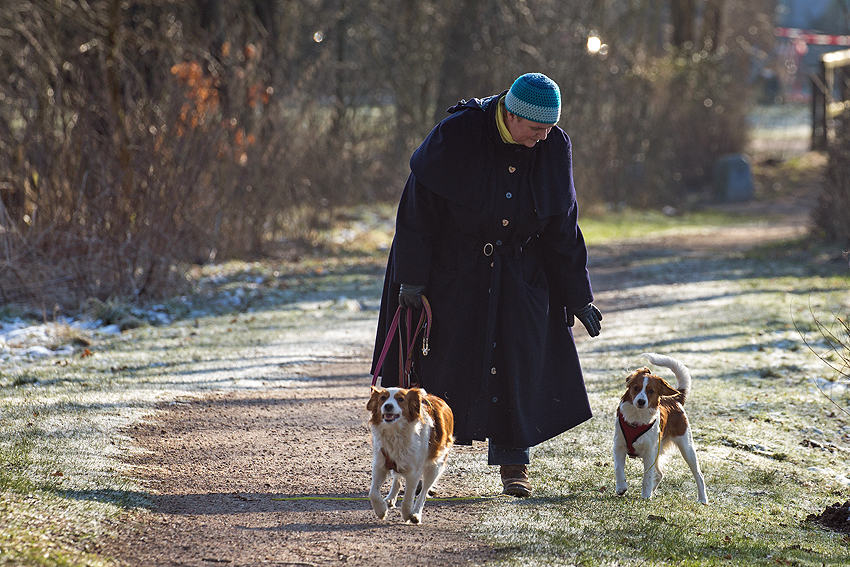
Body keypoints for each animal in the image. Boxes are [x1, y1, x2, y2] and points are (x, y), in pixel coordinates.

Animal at [368, 386, 454, 524]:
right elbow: (373, 493)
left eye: (400, 399)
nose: (388, 406)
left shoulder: (414, 471)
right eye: (382, 398)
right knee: (397, 479)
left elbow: (409, 497)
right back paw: (390, 498)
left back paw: (416, 513)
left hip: (435, 466)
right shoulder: (380, 464)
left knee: (423, 492)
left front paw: (408, 514)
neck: (395, 433)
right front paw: (381, 510)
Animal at [612, 352, 704, 504]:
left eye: (651, 391)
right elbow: (619, 468)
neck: (637, 417)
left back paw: (703, 499)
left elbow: (647, 477)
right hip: (658, 450)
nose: (641, 401)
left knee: (699, 475)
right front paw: (621, 488)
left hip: (687, 447)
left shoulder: (649, 451)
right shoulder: (619, 446)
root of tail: (675, 399)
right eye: (636, 388)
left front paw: (645, 495)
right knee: (660, 474)